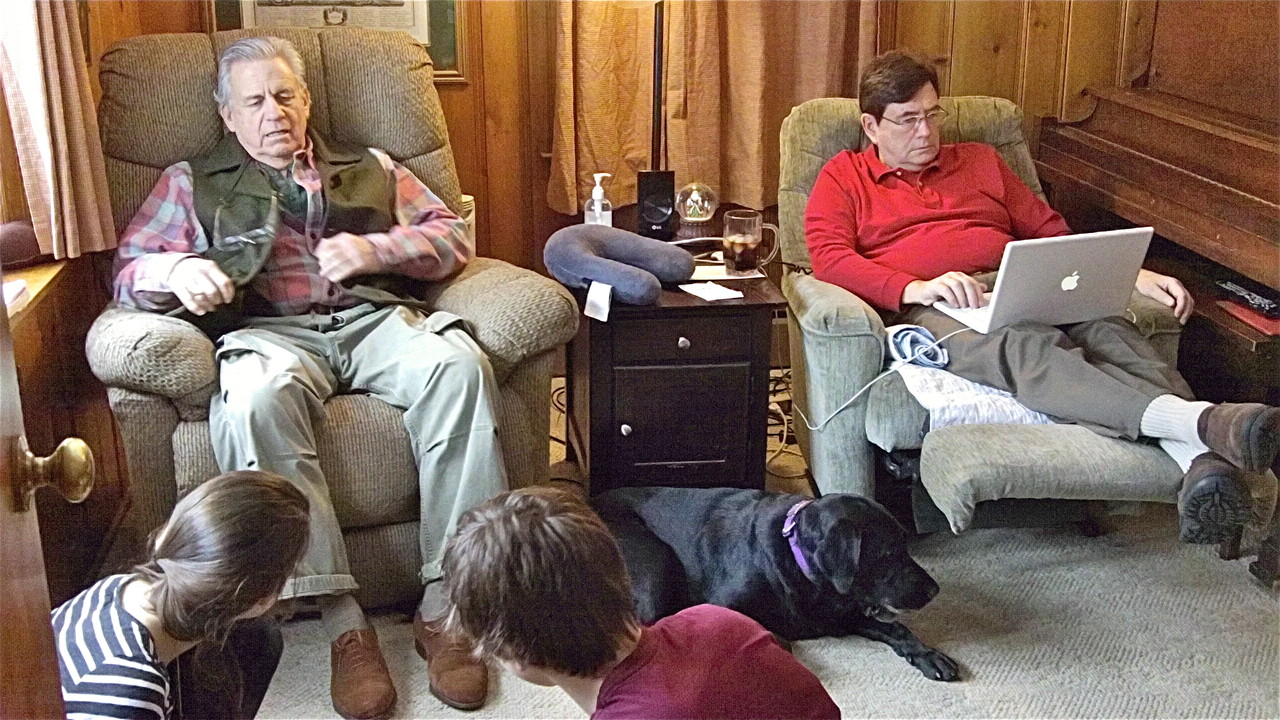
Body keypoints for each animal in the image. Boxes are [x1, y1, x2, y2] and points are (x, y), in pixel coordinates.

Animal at [588, 481, 962, 676]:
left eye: (905, 544)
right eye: (887, 553)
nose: (934, 590)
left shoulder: (844, 611)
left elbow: (897, 628)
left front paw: (927, 653)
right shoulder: (724, 604)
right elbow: (775, 636)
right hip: (655, 563)